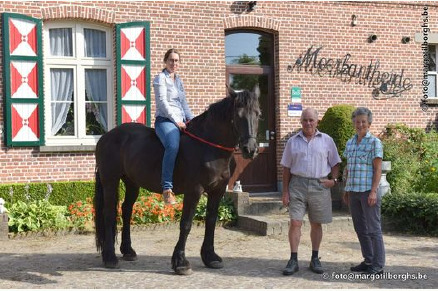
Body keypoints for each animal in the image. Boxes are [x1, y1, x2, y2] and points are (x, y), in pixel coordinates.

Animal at [94, 88, 260, 276]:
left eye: (258, 114)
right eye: (238, 115)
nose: (250, 149)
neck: (208, 148)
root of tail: (106, 136)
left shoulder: (217, 191)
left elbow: (211, 221)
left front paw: (210, 257)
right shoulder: (194, 191)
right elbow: (186, 224)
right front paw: (180, 263)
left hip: (132, 183)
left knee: (126, 210)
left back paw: (128, 251)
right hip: (110, 181)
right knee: (109, 214)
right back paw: (110, 258)